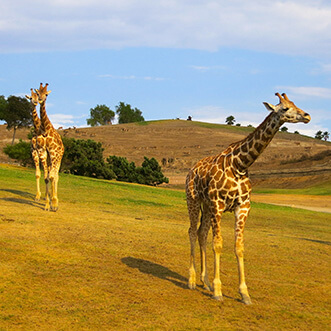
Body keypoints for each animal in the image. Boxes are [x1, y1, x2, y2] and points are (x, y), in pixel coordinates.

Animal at [187, 92, 312, 304]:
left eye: (295, 103)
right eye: (285, 108)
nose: (307, 115)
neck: (240, 165)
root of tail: (191, 170)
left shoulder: (243, 207)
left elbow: (239, 247)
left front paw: (244, 293)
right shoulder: (218, 204)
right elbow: (218, 244)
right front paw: (218, 291)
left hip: (207, 206)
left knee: (201, 233)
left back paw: (205, 282)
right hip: (193, 200)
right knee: (192, 232)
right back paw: (192, 280)